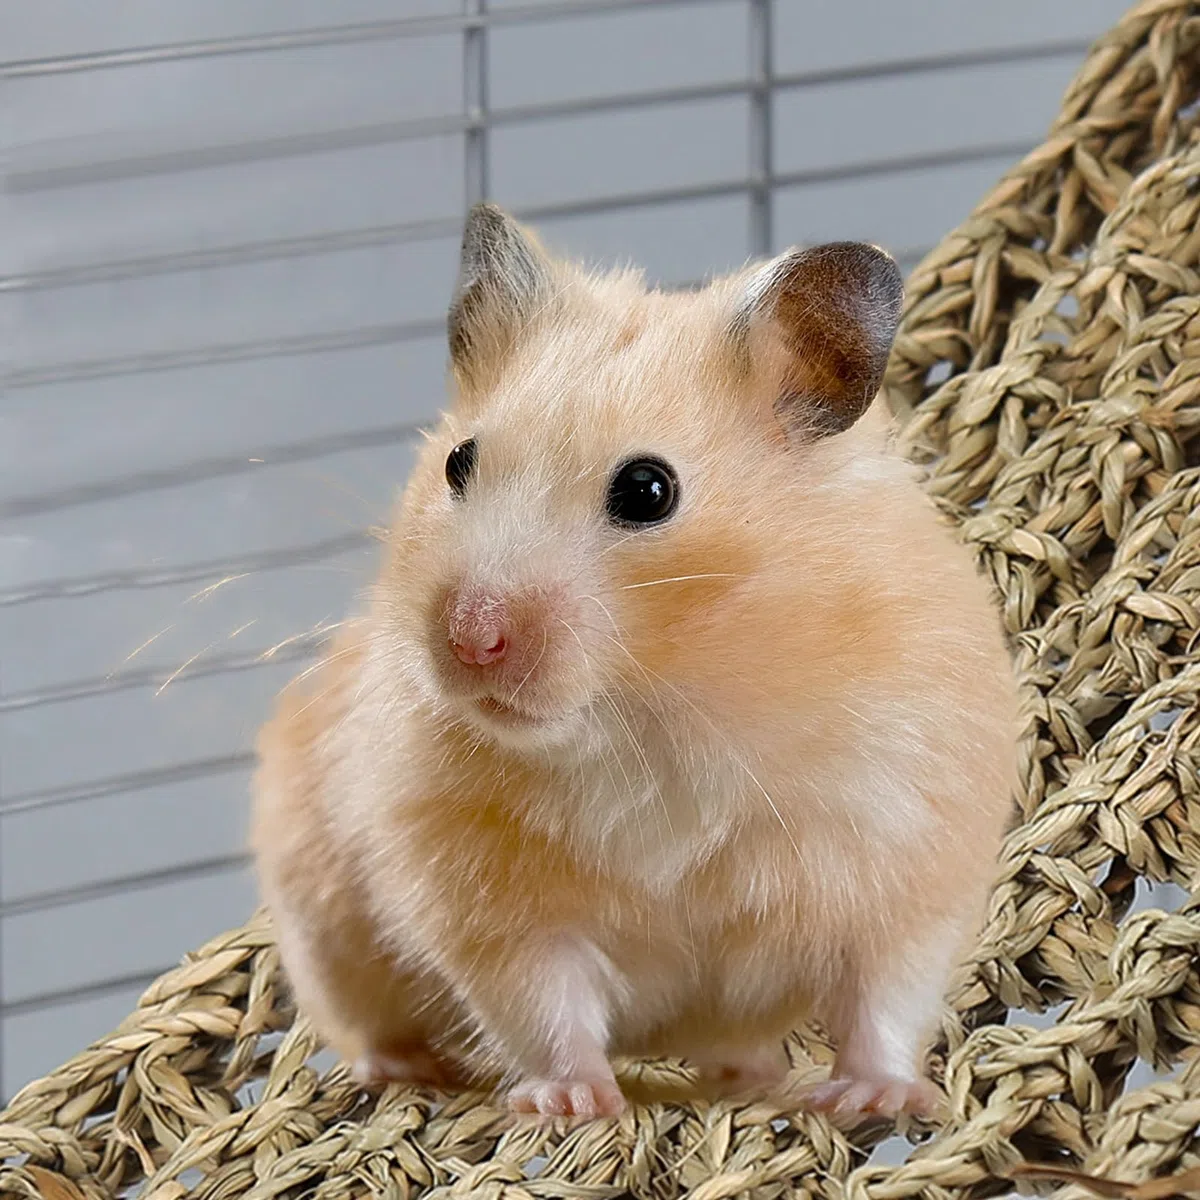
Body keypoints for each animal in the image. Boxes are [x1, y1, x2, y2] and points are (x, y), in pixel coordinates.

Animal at [251, 203, 1018, 1122]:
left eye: (648, 491)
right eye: (457, 463)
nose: (470, 640)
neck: (653, 709)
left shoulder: (911, 848)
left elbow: (885, 994)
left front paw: (880, 1099)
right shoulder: (485, 901)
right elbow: (543, 1003)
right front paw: (571, 1102)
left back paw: (757, 1079)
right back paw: (406, 1071)